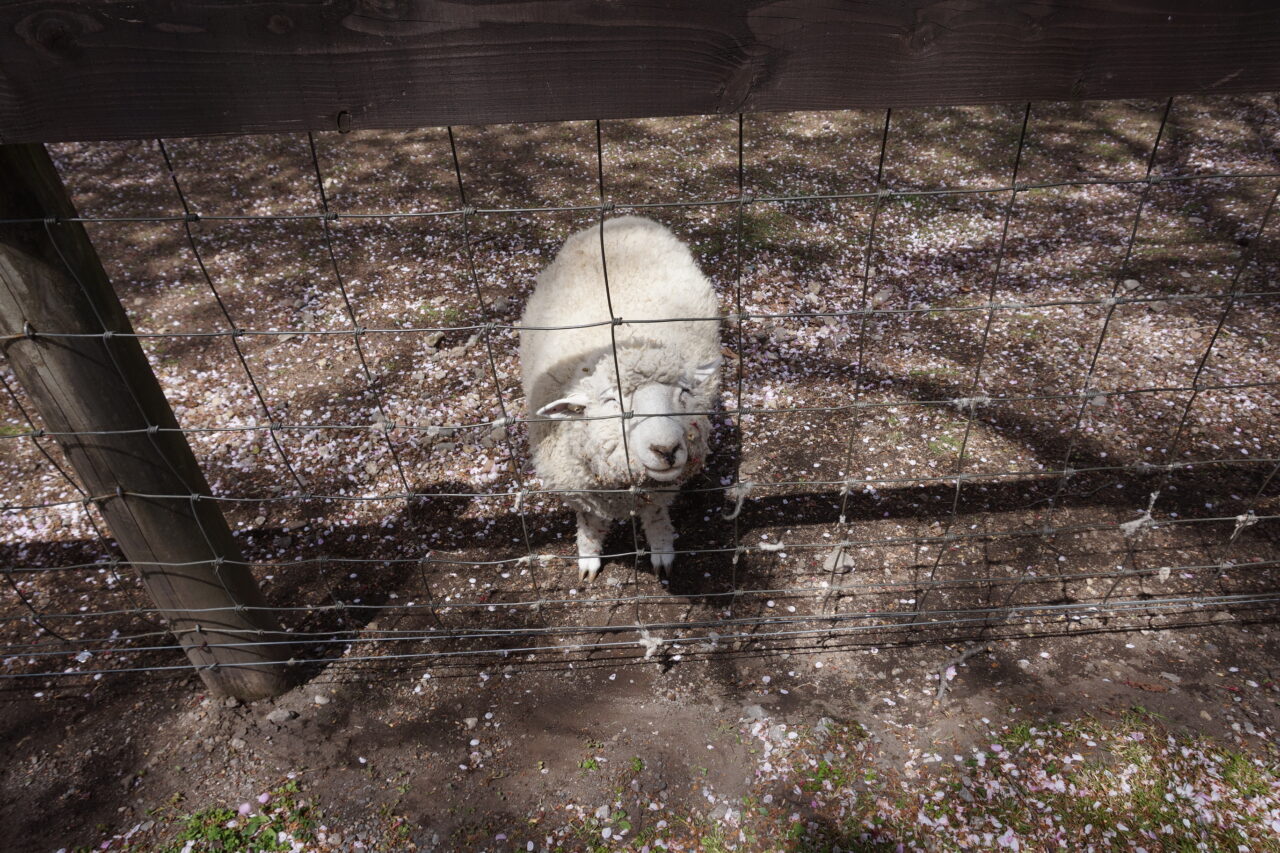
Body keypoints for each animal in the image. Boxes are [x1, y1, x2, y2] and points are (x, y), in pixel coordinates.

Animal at [517, 216, 721, 581]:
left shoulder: (657, 491)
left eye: (684, 393)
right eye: (612, 402)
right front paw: (587, 558)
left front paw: (662, 551)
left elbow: (656, 517)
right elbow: (588, 523)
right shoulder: (580, 491)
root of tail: (625, 217)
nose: (666, 450)